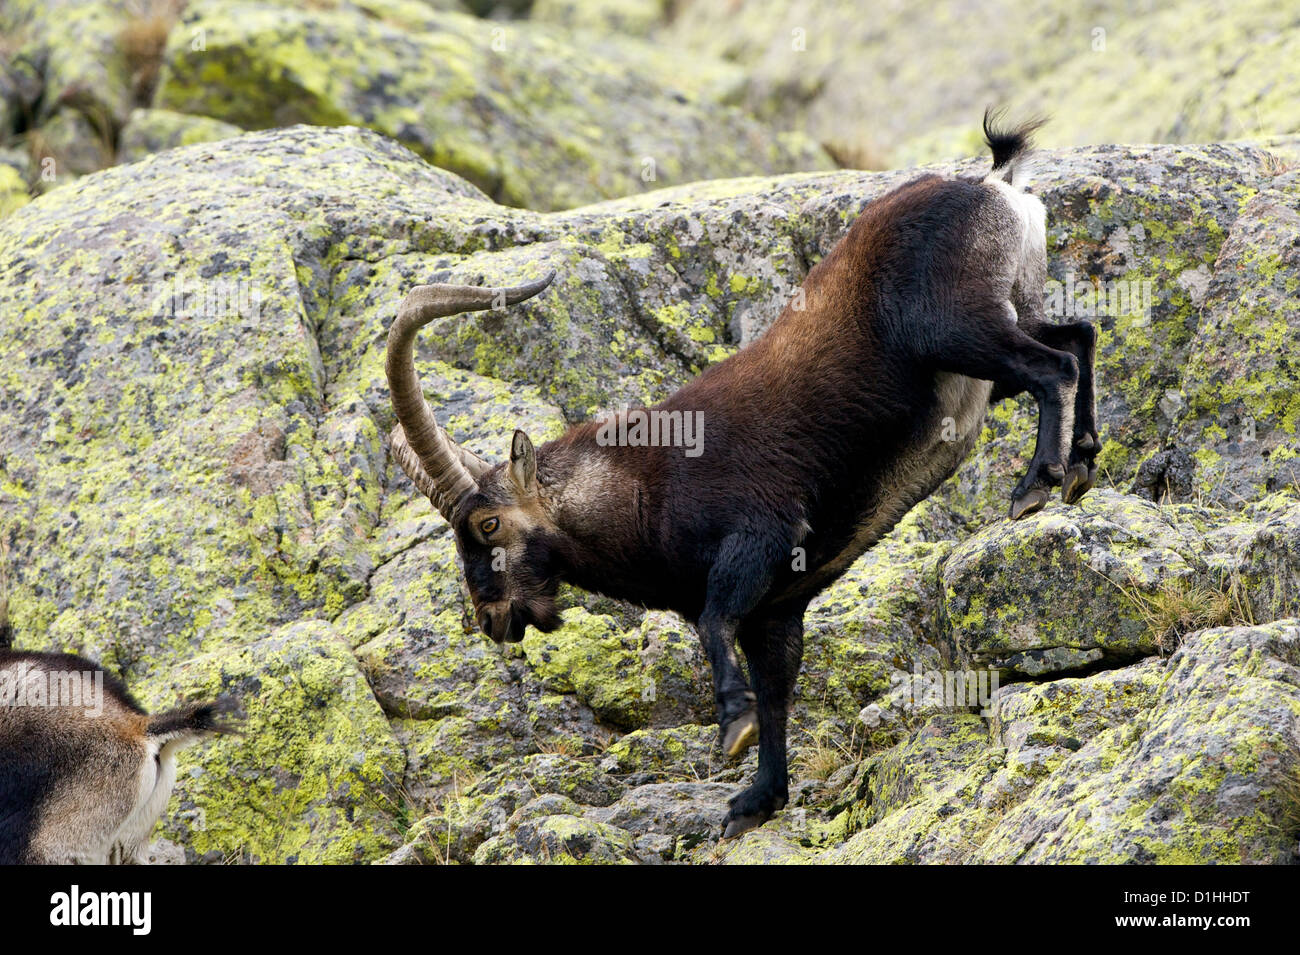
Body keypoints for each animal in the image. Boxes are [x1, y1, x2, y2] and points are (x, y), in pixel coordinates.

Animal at [386, 113, 1099, 837]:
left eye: (488, 523)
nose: (490, 618)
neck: (642, 485)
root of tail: (995, 185)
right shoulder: (777, 609)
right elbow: (777, 686)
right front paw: (758, 799)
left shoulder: (761, 536)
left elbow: (711, 623)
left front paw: (733, 726)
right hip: (1006, 314)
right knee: (1078, 335)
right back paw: (1081, 462)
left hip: (952, 329)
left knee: (1054, 364)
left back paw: (1037, 483)